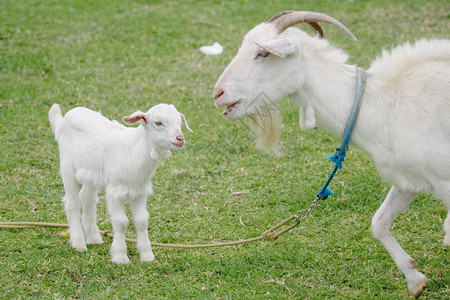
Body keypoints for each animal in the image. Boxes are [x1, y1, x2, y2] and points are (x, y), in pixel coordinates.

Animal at [48, 102, 192, 262]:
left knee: (87, 197)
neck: (134, 151)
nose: (180, 138)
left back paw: (94, 238)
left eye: (179, 122)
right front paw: (120, 256)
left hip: (92, 172)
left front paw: (146, 255)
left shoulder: (139, 191)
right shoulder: (115, 191)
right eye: (158, 123)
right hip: (67, 165)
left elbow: (142, 220)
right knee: (72, 203)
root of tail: (62, 120)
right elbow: (121, 222)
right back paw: (78, 243)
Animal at [214, 10, 450, 298]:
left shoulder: (445, 180)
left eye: (263, 53)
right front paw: (415, 281)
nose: (218, 93)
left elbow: (447, 231)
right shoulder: (409, 178)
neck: (383, 104)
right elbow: (378, 223)